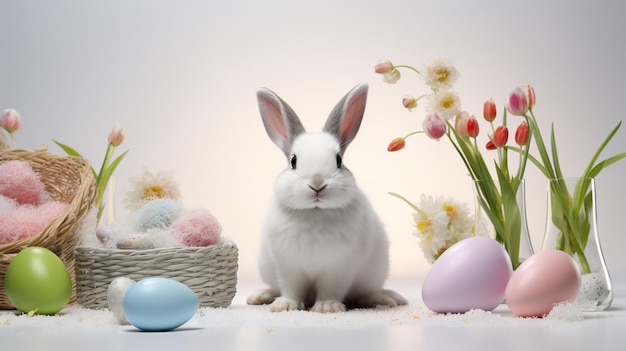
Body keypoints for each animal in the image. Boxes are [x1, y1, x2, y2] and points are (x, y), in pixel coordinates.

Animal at [246, 83, 408, 314]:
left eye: (338, 160)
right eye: (293, 161)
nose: (317, 183)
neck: (315, 213)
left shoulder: (339, 267)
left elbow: (331, 288)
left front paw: (326, 307)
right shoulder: (288, 266)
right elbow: (291, 288)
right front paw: (285, 305)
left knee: (363, 293)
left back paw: (384, 298)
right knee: (274, 287)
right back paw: (260, 296)